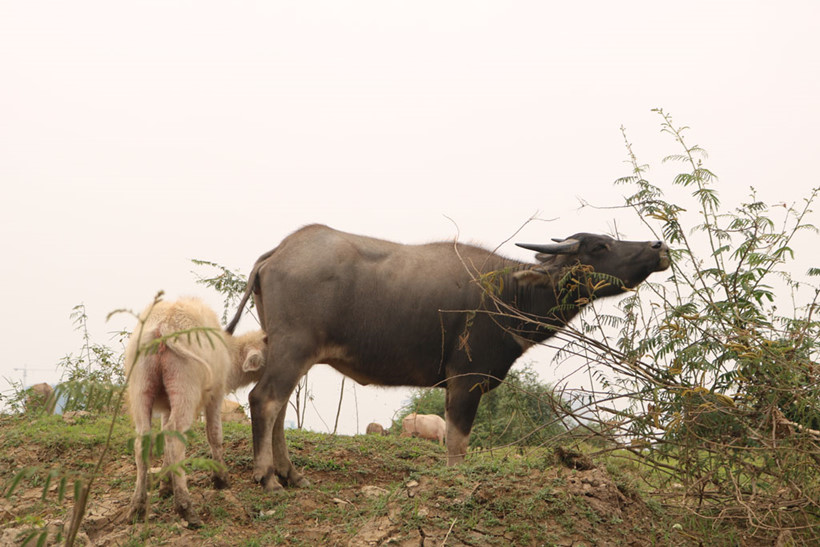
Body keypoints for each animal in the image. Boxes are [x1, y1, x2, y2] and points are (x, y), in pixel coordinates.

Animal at [223, 224, 668, 492]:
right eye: (600, 246)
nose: (658, 245)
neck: (509, 293)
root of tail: (280, 251)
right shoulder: (467, 378)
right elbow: (458, 441)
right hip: (293, 347)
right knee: (265, 400)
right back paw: (268, 478)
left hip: (289, 351)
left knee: (279, 406)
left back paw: (291, 474)